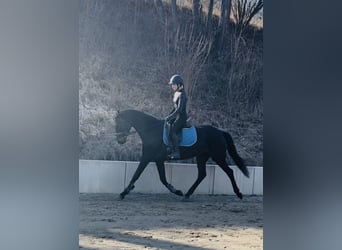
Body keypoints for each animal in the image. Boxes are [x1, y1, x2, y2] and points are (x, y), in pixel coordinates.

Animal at [115, 109, 248, 199]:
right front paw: (177, 191)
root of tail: (220, 132)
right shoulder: (158, 159)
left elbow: (136, 174)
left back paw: (239, 193)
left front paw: (124, 192)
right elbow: (162, 178)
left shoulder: (147, 157)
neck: (151, 130)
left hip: (218, 156)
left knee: (229, 171)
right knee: (202, 174)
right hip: (202, 157)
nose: (119, 140)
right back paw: (187, 194)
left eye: (118, 123)